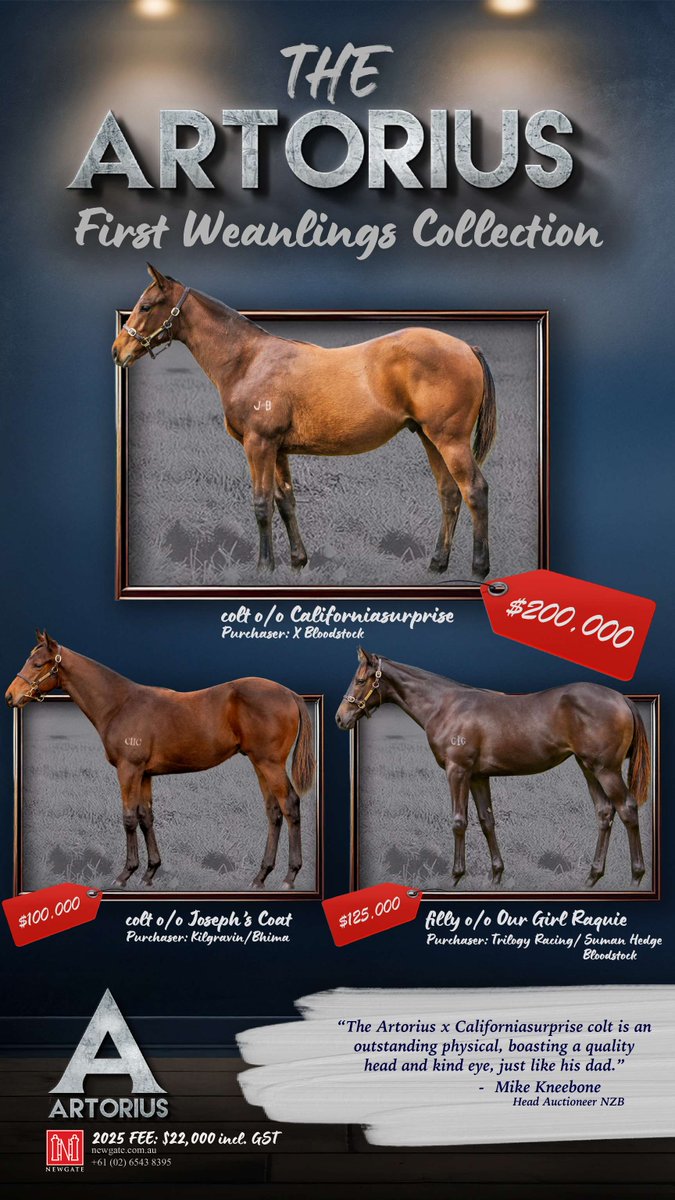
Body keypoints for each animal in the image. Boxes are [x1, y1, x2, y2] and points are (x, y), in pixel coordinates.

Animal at [6, 632, 315, 891]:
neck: (120, 704)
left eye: (37, 663)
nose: (11, 696)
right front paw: (150, 872)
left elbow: (129, 818)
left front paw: (125, 874)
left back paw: (289, 877)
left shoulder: (129, 770)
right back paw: (260, 876)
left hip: (270, 764)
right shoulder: (144, 774)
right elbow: (146, 817)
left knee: (290, 806)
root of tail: (289, 693)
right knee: (274, 812)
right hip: (260, 764)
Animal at [112, 264, 497, 578]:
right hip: (430, 438)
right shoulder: (278, 449)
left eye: (146, 306)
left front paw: (264, 567)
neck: (248, 361)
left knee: (474, 490)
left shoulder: (259, 444)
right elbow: (286, 502)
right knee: (449, 493)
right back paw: (437, 564)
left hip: (450, 440)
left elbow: (262, 503)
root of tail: (467, 347)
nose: (118, 352)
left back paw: (479, 568)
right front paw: (298, 561)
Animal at [336, 650, 650, 889]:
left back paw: (636, 877)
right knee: (605, 812)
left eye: (360, 680)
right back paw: (592, 877)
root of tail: (622, 698)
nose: (341, 718)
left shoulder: (457, 771)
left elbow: (459, 822)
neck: (446, 707)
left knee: (627, 809)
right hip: (589, 768)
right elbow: (487, 821)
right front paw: (496, 875)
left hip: (606, 770)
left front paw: (455, 876)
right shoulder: (478, 776)